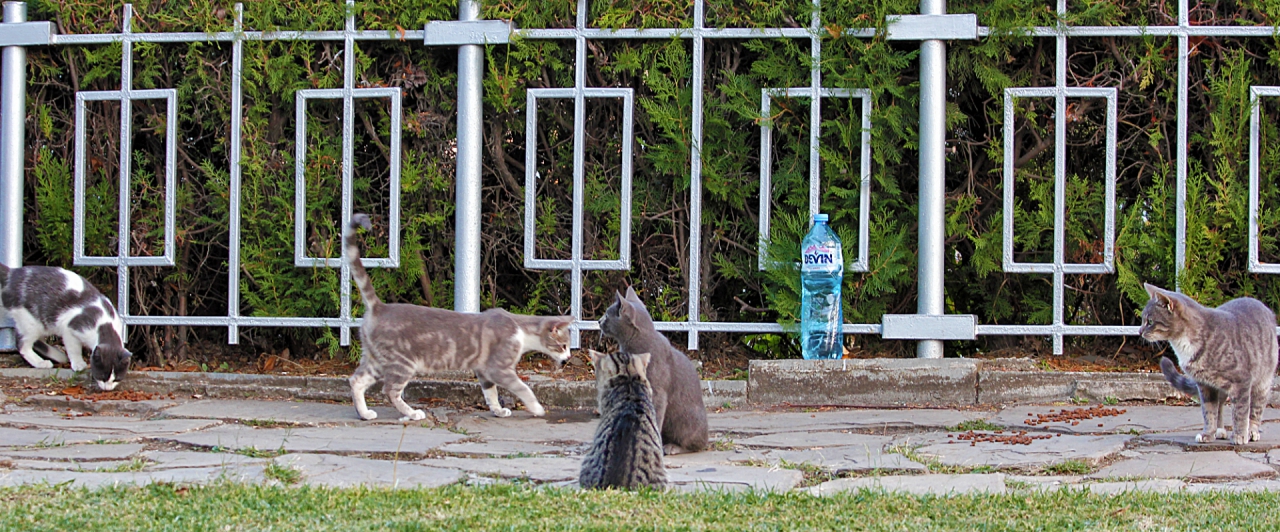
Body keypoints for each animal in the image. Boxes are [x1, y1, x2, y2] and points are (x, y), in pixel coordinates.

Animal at [0, 263, 131, 391]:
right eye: (102, 376)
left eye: (117, 379)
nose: (107, 389)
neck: (104, 323)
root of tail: (12, 274)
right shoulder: (71, 328)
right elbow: (74, 348)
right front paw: (78, 363)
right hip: (30, 320)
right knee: (22, 345)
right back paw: (41, 362)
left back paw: (58, 356)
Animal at [345, 213, 576, 422]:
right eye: (563, 345)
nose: (568, 359)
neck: (521, 330)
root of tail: (380, 307)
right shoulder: (498, 368)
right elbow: (523, 387)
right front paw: (537, 408)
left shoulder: (483, 370)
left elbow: (491, 393)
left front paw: (498, 410)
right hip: (402, 362)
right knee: (390, 390)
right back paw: (412, 413)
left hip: (376, 358)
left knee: (356, 380)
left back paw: (364, 414)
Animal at [599, 286, 711, 452]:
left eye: (607, 314)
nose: (599, 320)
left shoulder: (658, 392)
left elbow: (655, 417)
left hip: (686, 419)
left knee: (695, 444)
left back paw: (672, 447)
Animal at [1141, 282, 1280, 445]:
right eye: (1143, 320)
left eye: (1150, 321)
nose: (1139, 331)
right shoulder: (1205, 385)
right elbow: (1209, 411)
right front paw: (1209, 433)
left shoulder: (1242, 381)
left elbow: (1240, 411)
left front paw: (1240, 435)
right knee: (1220, 406)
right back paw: (1220, 430)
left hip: (1263, 381)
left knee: (1256, 409)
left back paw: (1252, 431)